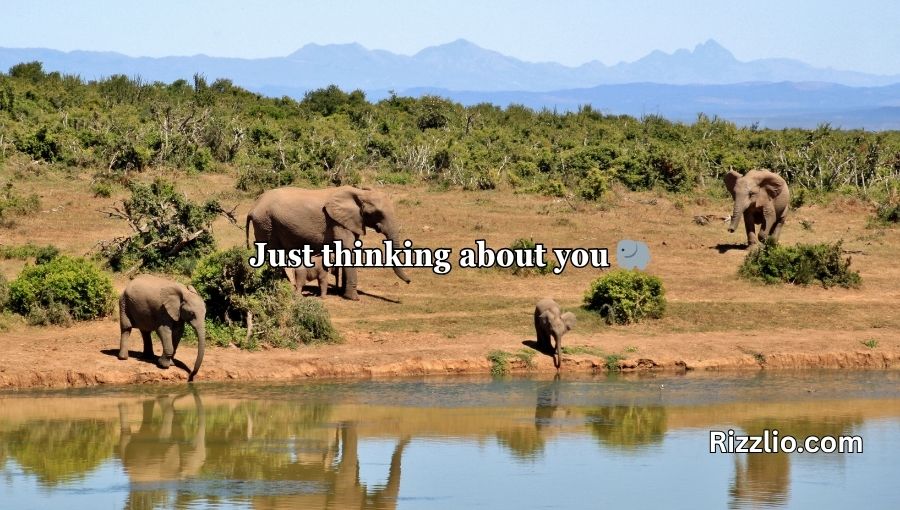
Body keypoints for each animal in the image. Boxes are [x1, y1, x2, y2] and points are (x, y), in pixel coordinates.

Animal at [246, 185, 411, 300]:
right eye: (378, 214)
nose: (409, 281)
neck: (359, 192)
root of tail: (253, 206)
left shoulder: (351, 222)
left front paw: (342, 292)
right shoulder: (337, 223)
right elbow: (348, 250)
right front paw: (353, 298)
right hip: (266, 223)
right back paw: (283, 286)